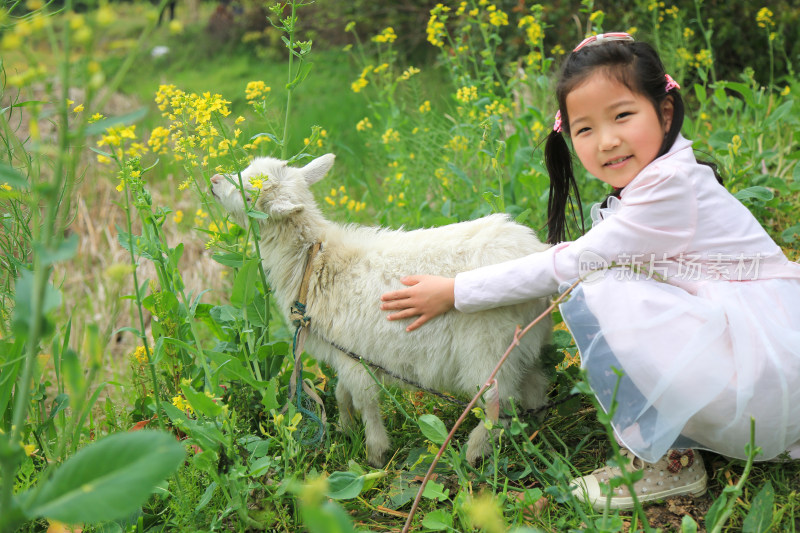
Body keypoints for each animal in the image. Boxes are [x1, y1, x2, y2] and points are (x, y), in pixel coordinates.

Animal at [209, 154, 552, 466]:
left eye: (248, 193)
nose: (213, 180)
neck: (316, 263)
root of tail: (534, 251)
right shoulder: (347, 352)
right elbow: (341, 393)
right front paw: (345, 429)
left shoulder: (354, 355)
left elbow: (364, 401)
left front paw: (375, 453)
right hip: (520, 341)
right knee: (533, 384)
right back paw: (533, 429)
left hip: (487, 346)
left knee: (497, 400)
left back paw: (475, 451)